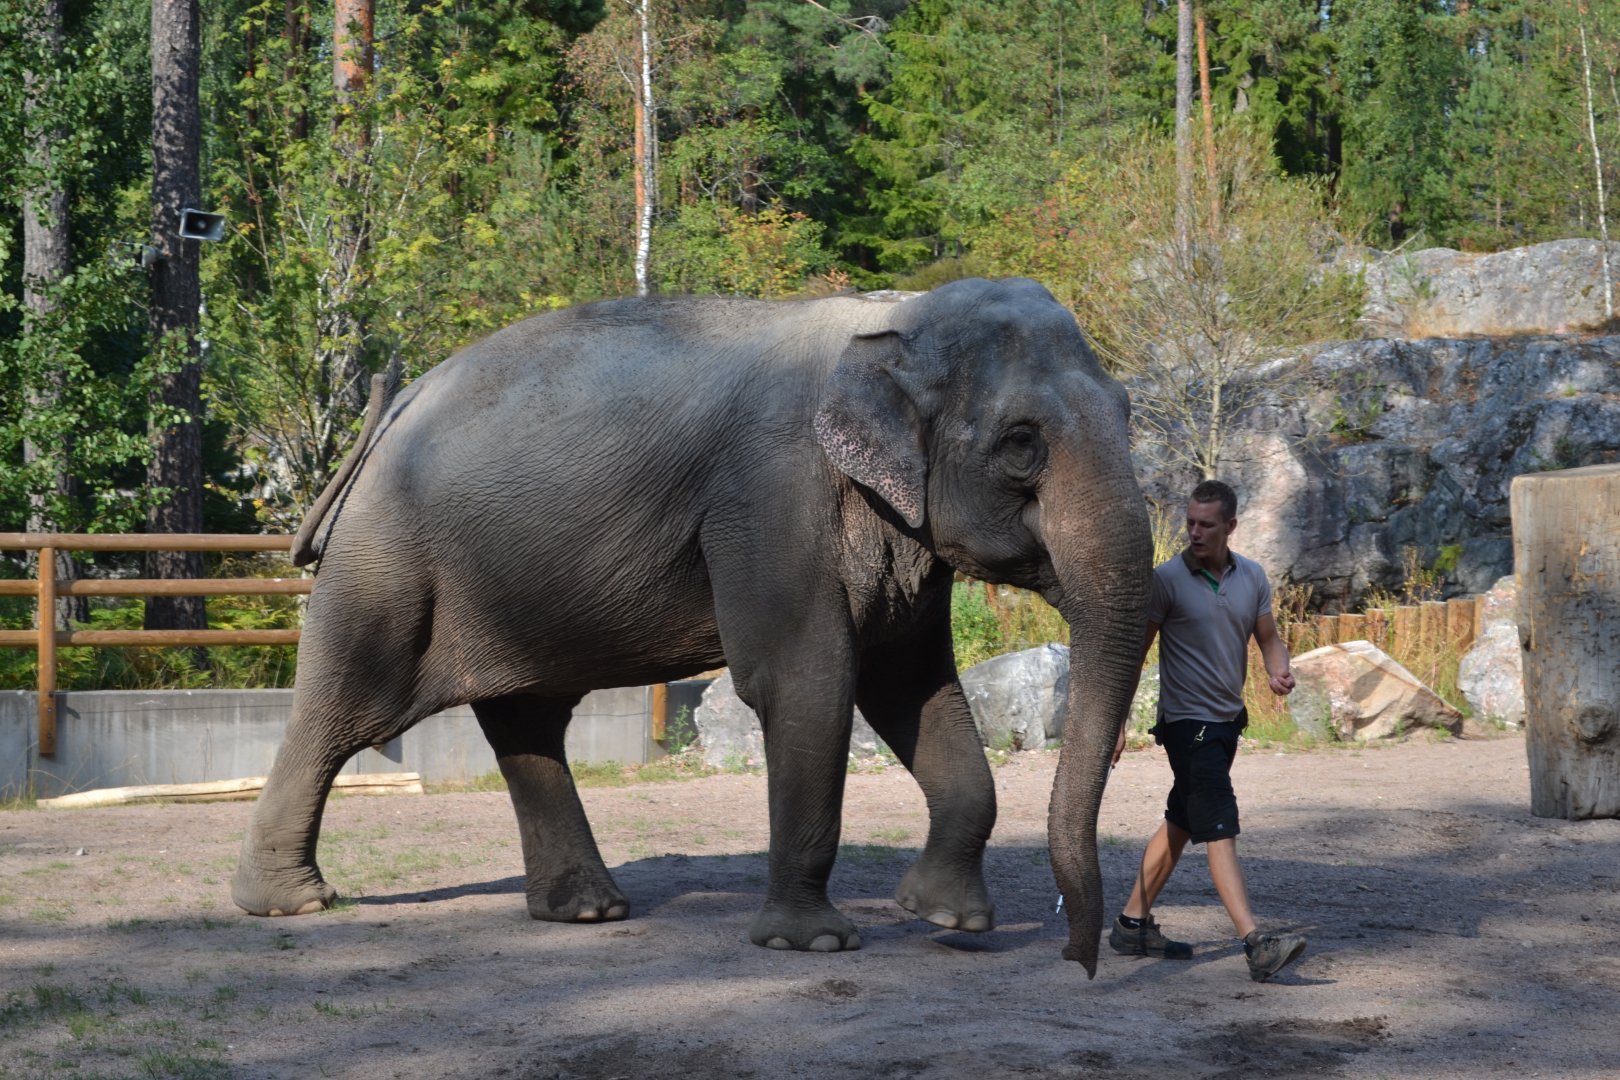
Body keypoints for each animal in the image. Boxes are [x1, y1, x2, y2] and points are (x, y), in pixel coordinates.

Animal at [231, 277, 1152, 975]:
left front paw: (947, 921)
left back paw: (587, 912)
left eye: (1129, 412)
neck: (894, 321)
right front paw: (813, 944)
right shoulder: (771, 498)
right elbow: (806, 681)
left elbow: (911, 687)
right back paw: (289, 904)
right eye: (1022, 443)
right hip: (387, 561)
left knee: (529, 720)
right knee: (347, 711)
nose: (1081, 957)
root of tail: (398, 403)